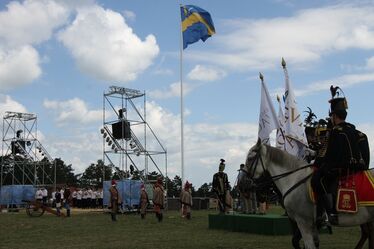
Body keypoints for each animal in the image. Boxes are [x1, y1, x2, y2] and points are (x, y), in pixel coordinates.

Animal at [244, 140, 374, 249]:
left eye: (250, 158)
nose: (243, 183)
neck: (294, 178)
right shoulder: (311, 225)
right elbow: (302, 242)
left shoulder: (303, 222)